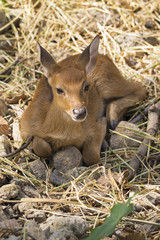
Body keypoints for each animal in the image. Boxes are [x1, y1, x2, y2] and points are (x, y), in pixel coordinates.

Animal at [20, 35, 147, 166]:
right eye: (59, 89)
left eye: (86, 86)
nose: (80, 112)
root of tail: (104, 56)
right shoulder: (24, 128)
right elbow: (42, 147)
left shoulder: (92, 127)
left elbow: (91, 156)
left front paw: (103, 126)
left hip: (109, 84)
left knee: (141, 88)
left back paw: (112, 119)